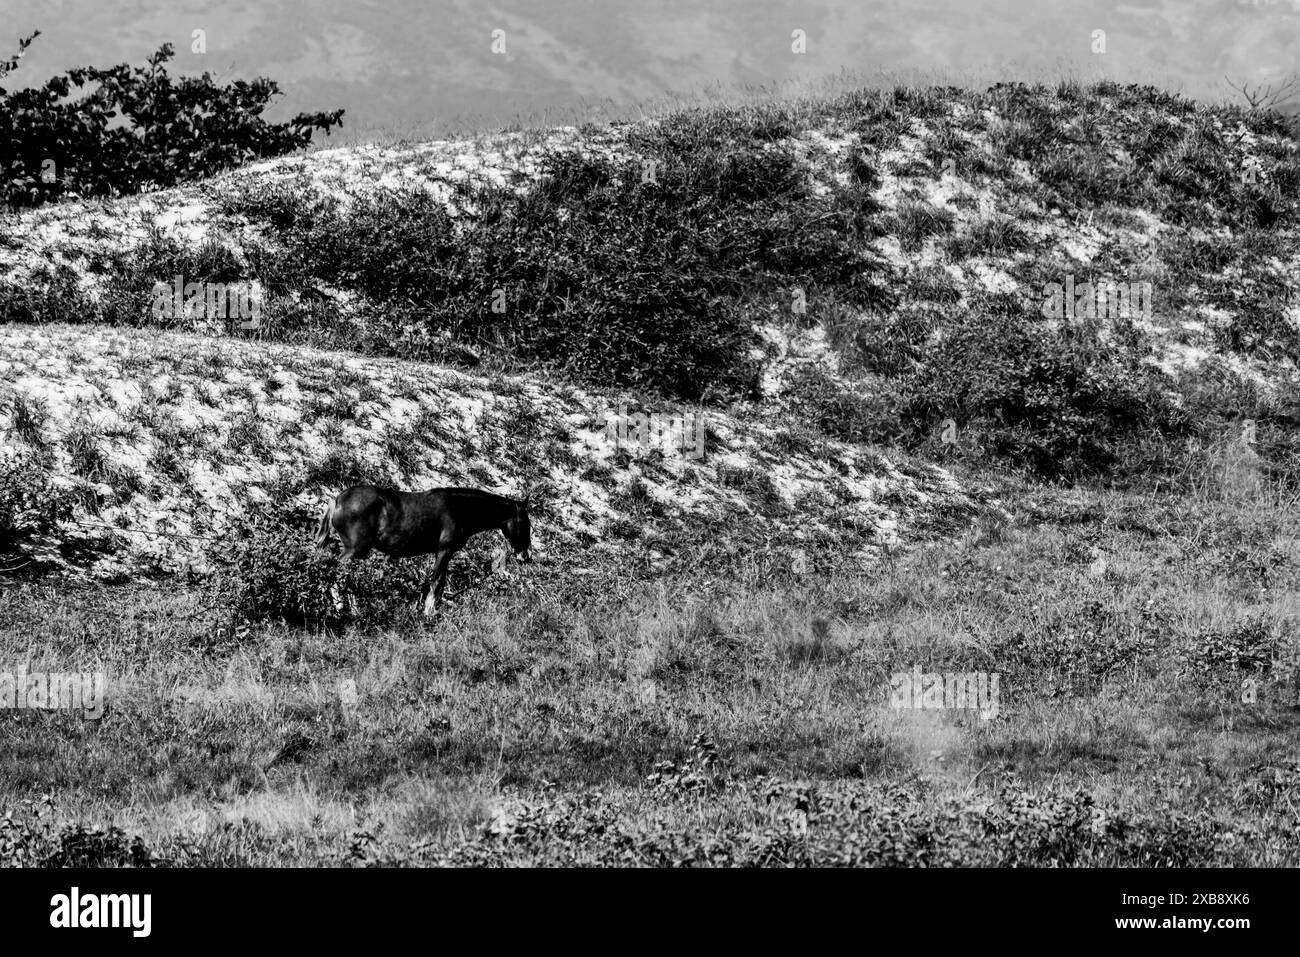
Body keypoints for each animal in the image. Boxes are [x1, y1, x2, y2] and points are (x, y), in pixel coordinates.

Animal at [315, 484, 534, 616]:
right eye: (525, 523)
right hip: (354, 550)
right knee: (338, 574)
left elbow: (439, 583)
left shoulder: (445, 553)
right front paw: (428, 613)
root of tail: (337, 500)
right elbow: (436, 582)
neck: (459, 508)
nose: (525, 556)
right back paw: (343, 608)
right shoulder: (444, 551)